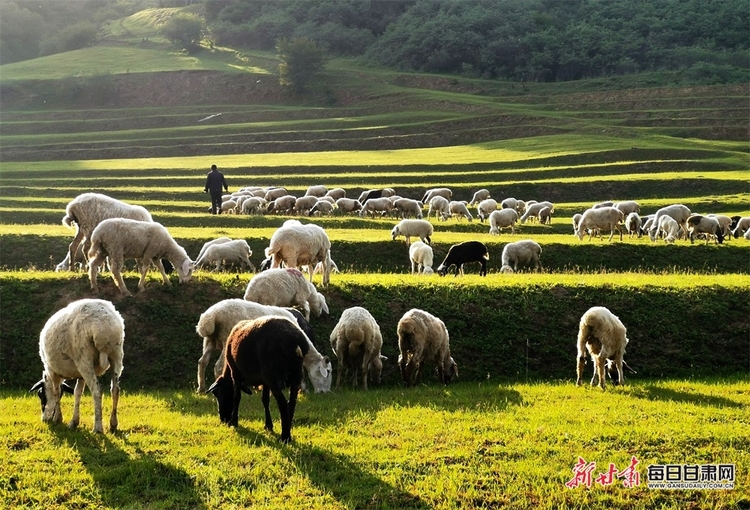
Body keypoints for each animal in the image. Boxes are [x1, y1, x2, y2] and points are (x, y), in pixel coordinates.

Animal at [30, 298, 124, 434]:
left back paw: (98, 428)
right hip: (116, 355)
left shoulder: (52, 371)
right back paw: (113, 424)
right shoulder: (80, 376)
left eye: (40, 394)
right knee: (115, 389)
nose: (44, 420)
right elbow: (77, 393)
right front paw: (74, 422)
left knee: (97, 390)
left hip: (84, 358)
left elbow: (56, 392)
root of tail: (103, 325)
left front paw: (58, 419)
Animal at [197, 296, 332, 392]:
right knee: (218, 366)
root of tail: (211, 317)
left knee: (202, 362)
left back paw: (201, 388)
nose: (324, 393)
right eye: (328, 372)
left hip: (209, 340)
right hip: (226, 338)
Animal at [207, 314, 310, 442]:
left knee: (283, 403)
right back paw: (288, 431)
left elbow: (237, 397)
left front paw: (233, 422)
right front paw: (268, 425)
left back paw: (284, 437)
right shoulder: (264, 380)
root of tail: (295, 341)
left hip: (273, 375)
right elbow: (265, 400)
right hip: (295, 374)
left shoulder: (235, 372)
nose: (223, 419)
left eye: (217, 393)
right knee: (291, 403)